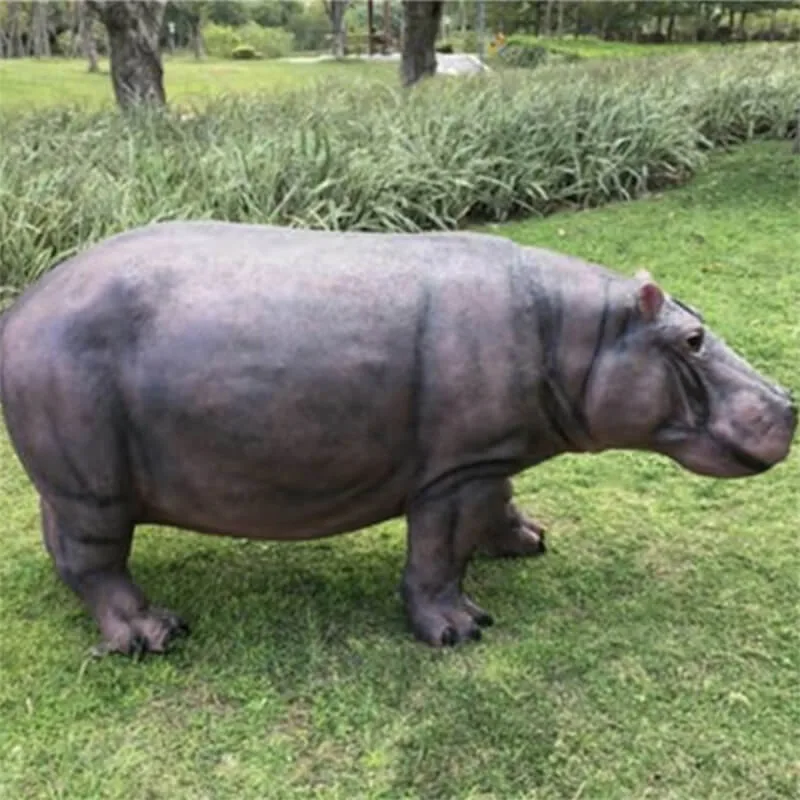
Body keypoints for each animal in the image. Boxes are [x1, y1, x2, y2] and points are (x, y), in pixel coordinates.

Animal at [0, 222, 795, 656]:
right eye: (692, 340)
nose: (787, 401)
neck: (585, 333)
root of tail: (25, 305)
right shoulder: (455, 472)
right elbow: (440, 553)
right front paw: (462, 631)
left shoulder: (490, 453)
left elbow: (504, 501)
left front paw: (530, 541)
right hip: (94, 483)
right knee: (98, 560)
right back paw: (156, 637)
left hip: (75, 482)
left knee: (64, 545)